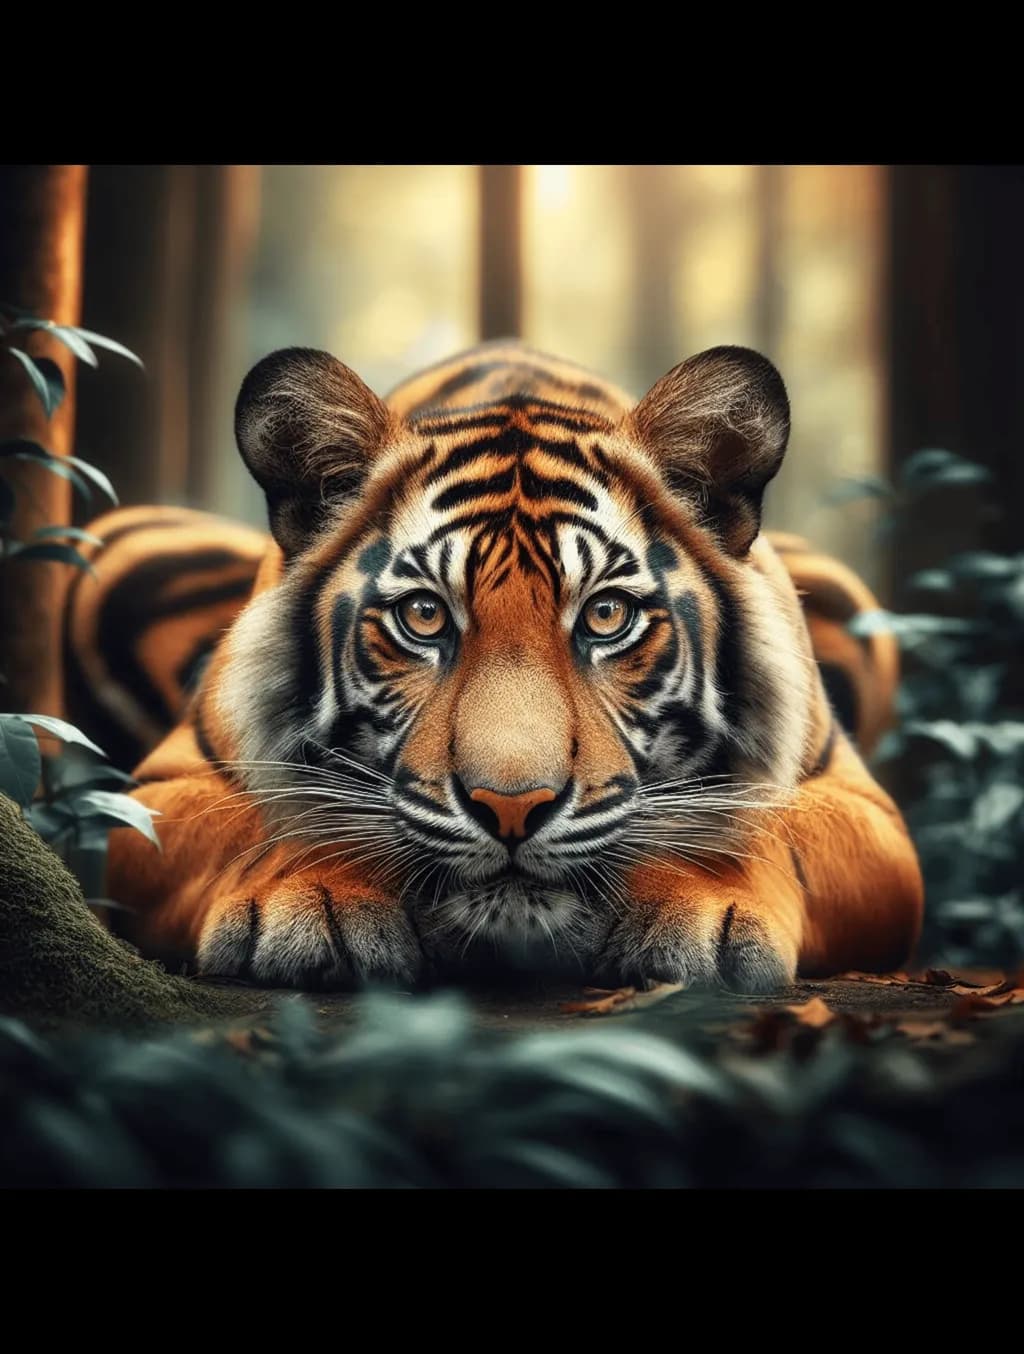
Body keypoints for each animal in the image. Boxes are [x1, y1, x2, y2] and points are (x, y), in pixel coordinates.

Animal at [64, 340, 924, 993]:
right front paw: (312, 896)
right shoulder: (160, 788)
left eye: (606, 616)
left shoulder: (864, 807)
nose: (512, 808)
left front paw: (701, 907)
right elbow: (273, 811)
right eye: (423, 616)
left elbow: (751, 821)